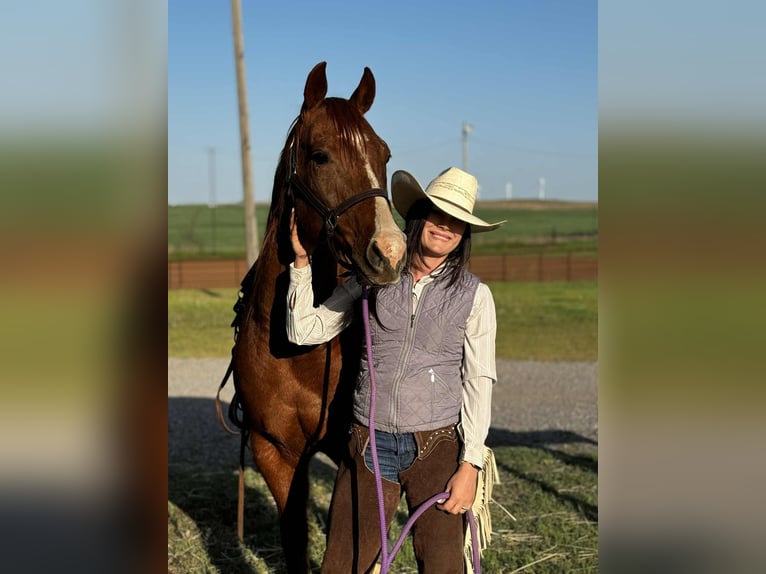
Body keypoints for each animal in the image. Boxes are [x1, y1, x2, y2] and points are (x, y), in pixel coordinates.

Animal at [227, 61, 406, 572]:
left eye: (384, 154)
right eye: (321, 156)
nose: (391, 251)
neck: (297, 352)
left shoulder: (356, 455)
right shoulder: (275, 451)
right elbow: (295, 537)